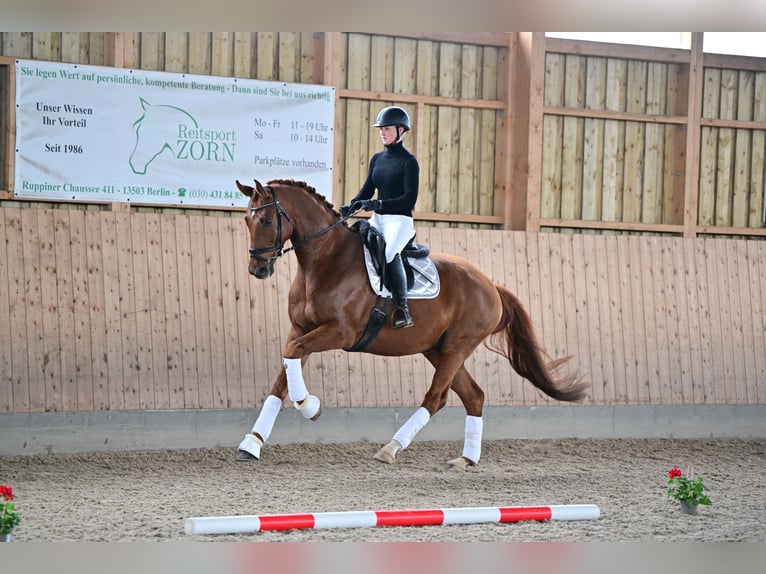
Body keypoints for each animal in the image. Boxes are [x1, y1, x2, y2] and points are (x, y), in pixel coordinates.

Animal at [234, 179, 588, 472]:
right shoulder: (300, 330)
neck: (326, 261)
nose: (257, 269)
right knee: (473, 396)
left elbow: (291, 361)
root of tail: (491, 285)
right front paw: (252, 443)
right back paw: (466, 459)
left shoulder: (339, 333)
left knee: (436, 398)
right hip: (438, 349)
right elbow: (282, 376)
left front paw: (310, 406)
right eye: (246, 221)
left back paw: (391, 448)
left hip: (457, 347)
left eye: (267, 220)